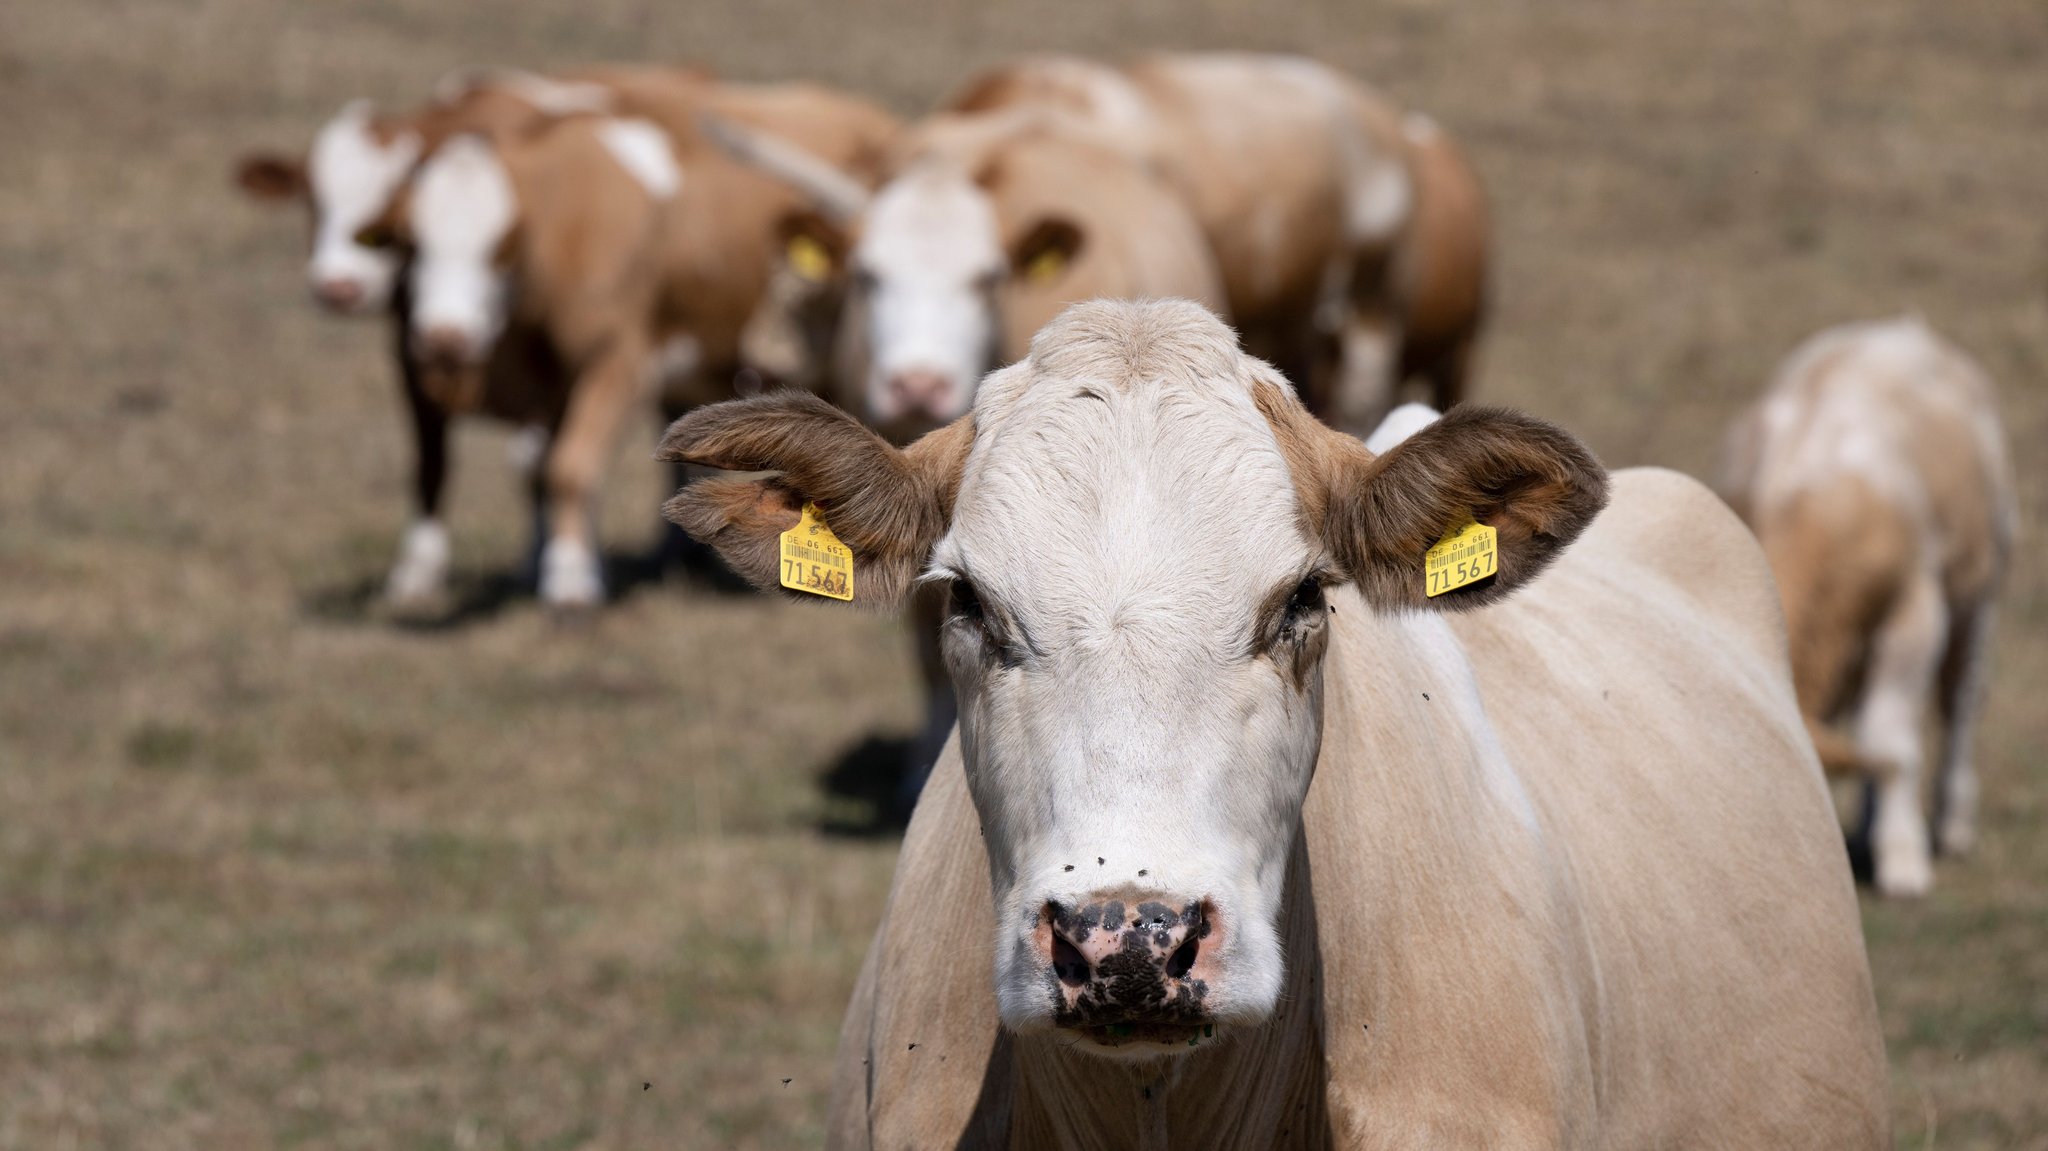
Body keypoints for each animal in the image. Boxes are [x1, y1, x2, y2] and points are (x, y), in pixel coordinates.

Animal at [1720, 315, 2023, 897]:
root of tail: (1896, 329)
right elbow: (1875, 739)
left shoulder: (1915, 617)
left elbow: (1892, 738)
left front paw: (1902, 858)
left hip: (1982, 581)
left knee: (1959, 700)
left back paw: (1951, 823)